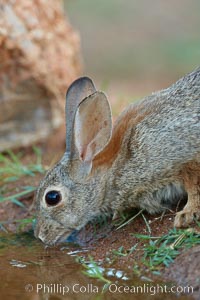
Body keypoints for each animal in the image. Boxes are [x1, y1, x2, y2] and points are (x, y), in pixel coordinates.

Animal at [34, 68, 200, 246]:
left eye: (52, 197)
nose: (40, 236)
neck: (114, 168)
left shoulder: (183, 154)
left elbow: (193, 186)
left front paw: (187, 214)